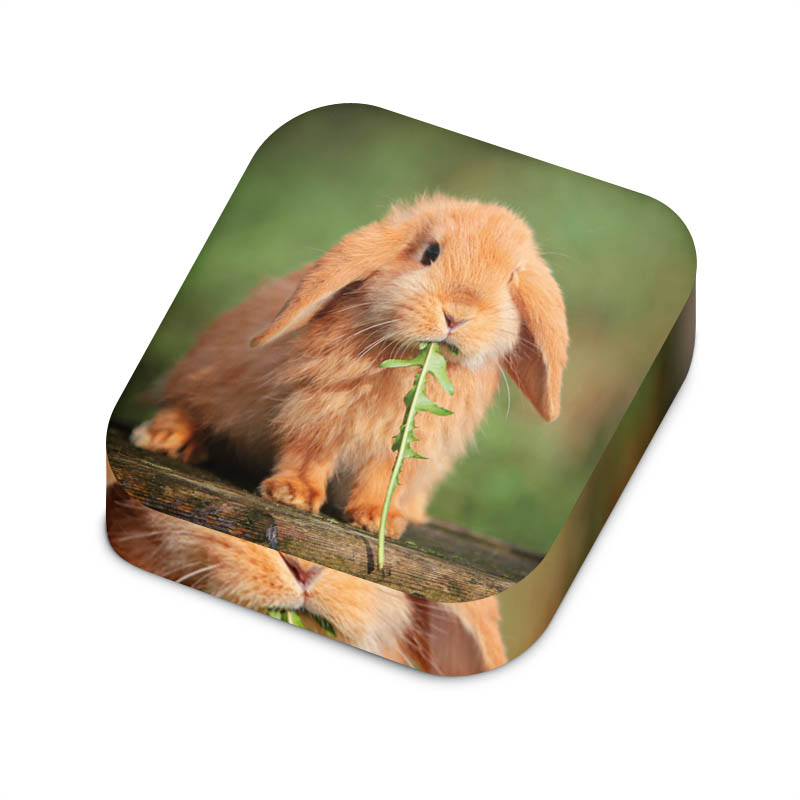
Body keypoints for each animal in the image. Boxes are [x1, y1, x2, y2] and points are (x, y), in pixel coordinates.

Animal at [131, 193, 568, 538]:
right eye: (430, 253)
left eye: (511, 279)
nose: (457, 314)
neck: (406, 363)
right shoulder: (320, 411)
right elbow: (310, 451)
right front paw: (293, 494)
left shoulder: (408, 445)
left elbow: (384, 476)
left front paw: (377, 520)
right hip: (211, 377)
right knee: (187, 404)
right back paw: (163, 438)